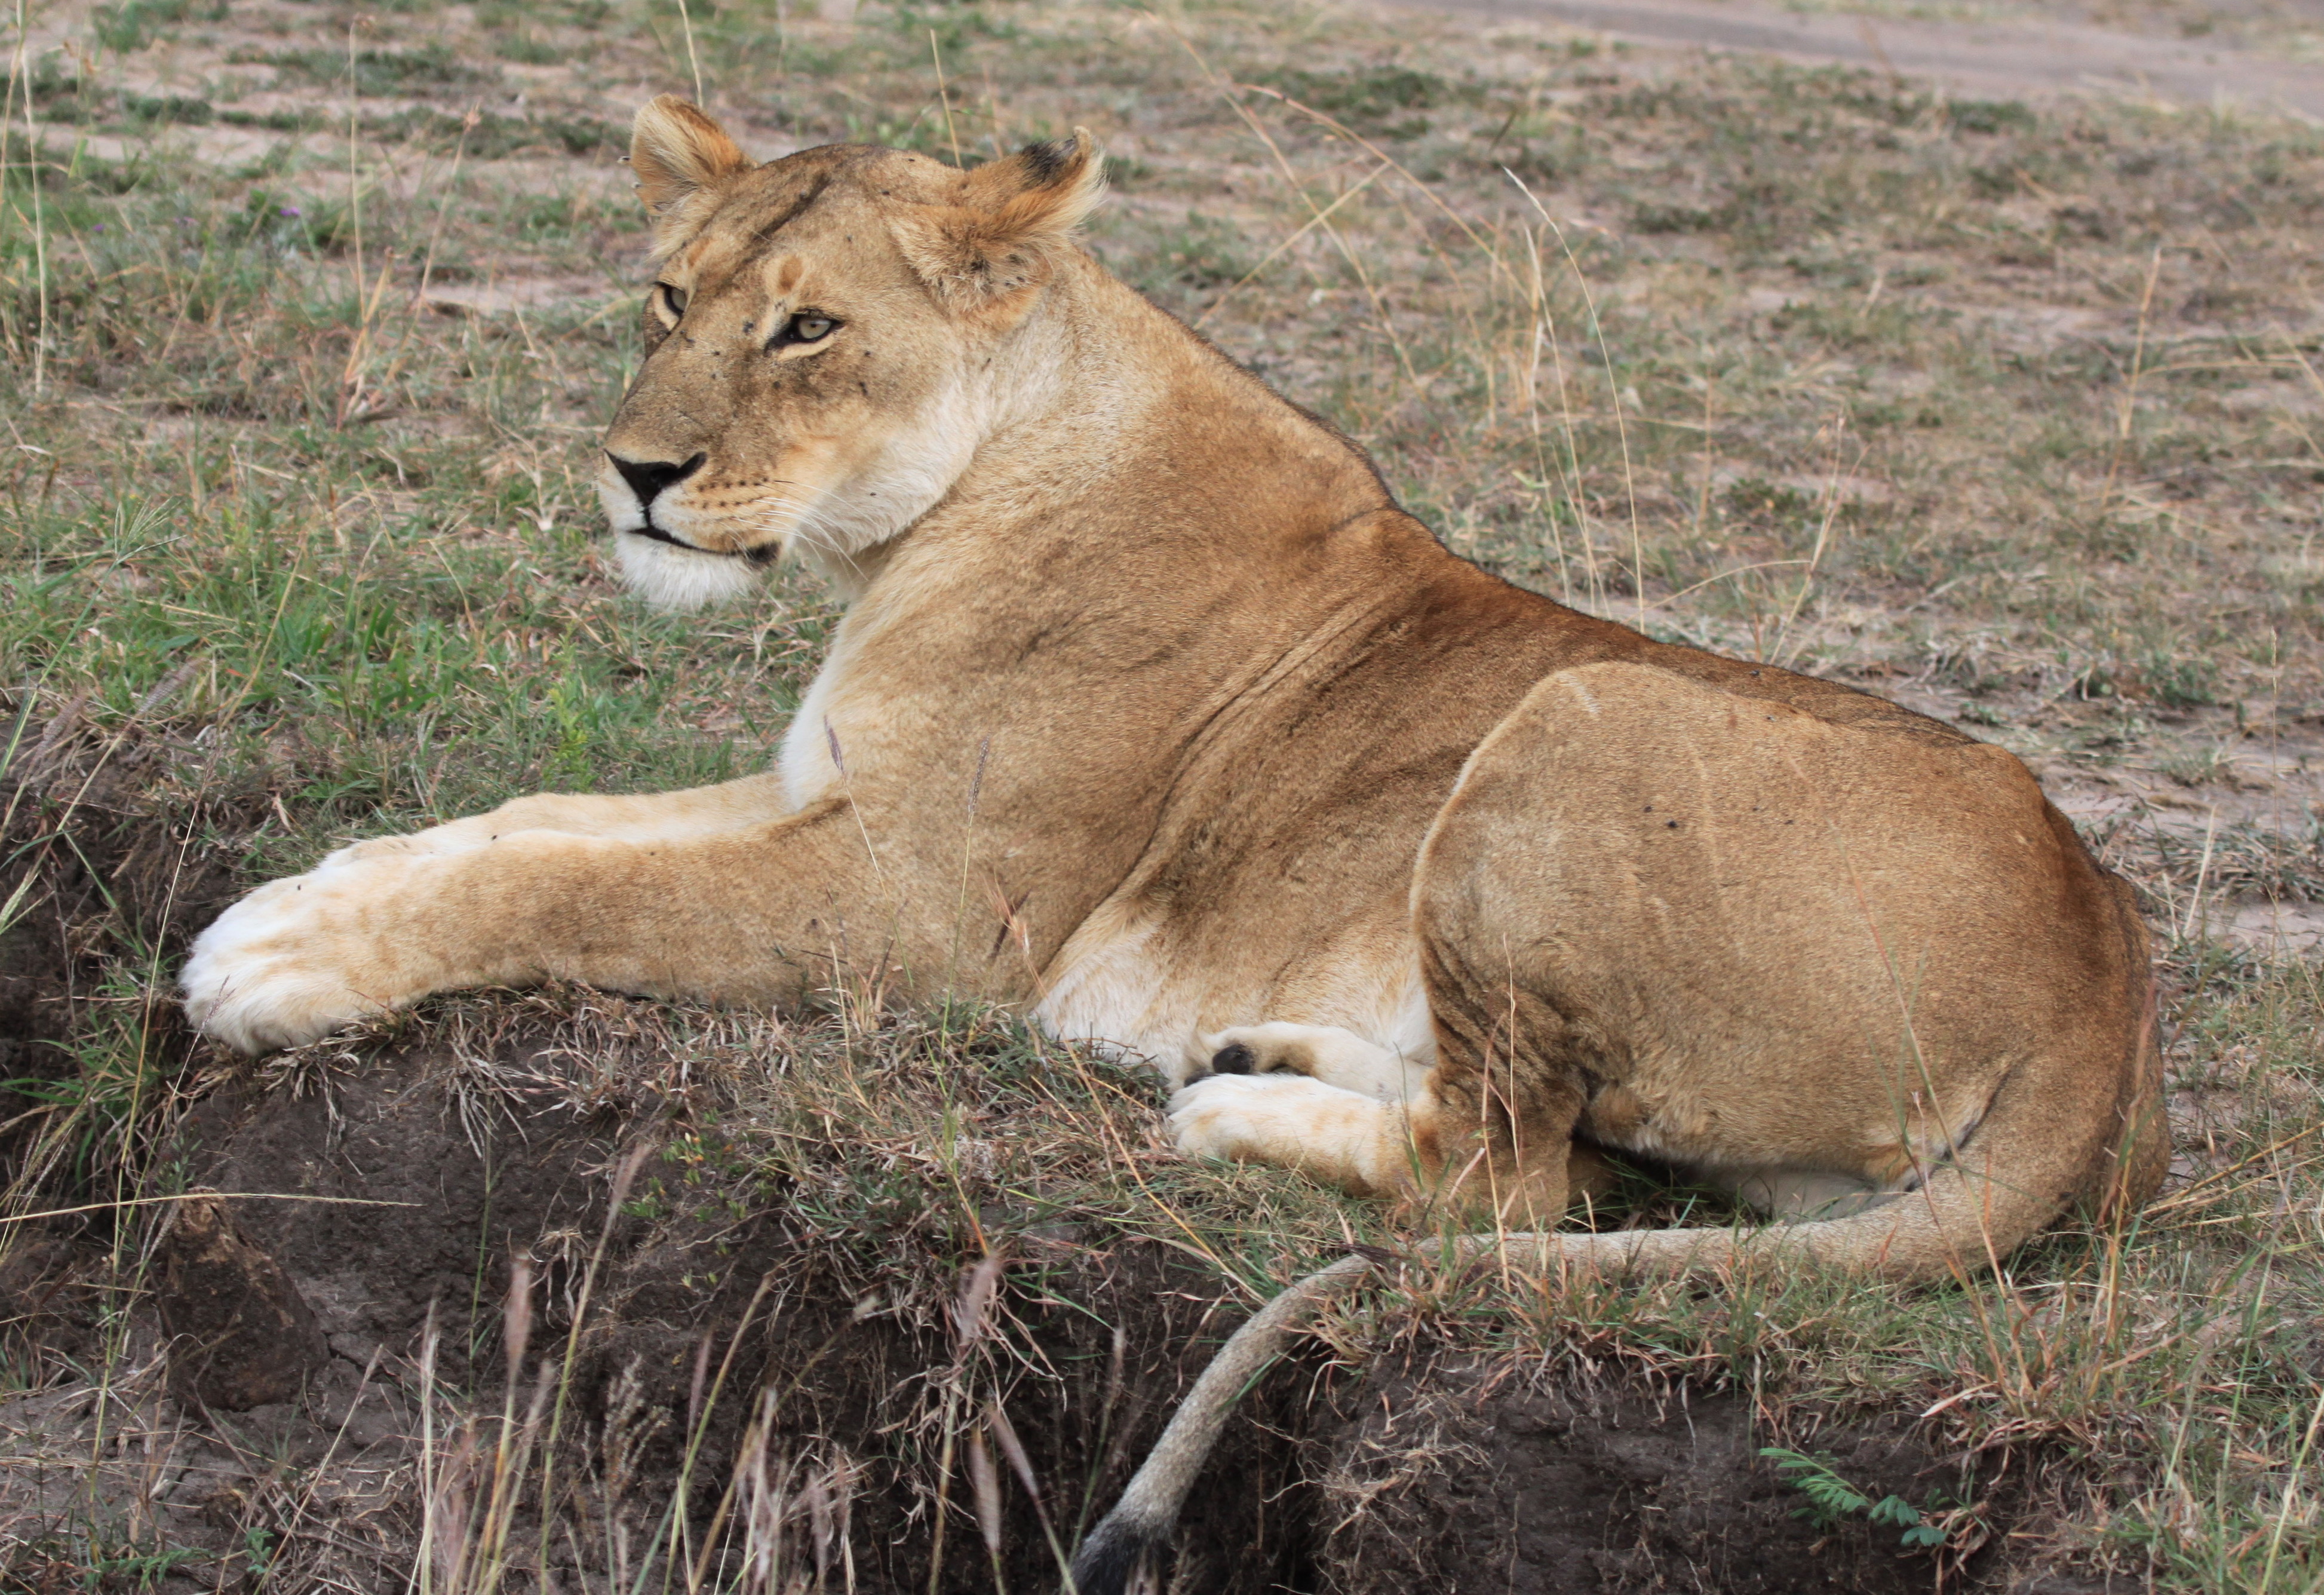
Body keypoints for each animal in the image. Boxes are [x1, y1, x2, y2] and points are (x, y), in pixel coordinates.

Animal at [181, 98, 2164, 1590]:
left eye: (807, 328)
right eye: (665, 295)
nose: (632, 477)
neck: (941, 506)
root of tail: (2110, 974)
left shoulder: (918, 904)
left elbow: (568, 874)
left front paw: (275, 965)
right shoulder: (821, 799)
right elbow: (530, 824)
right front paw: (313, 891)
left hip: (1580, 711)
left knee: (1513, 1175)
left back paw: (1228, 1103)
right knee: (1555, 1152)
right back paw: (1260, 1043)